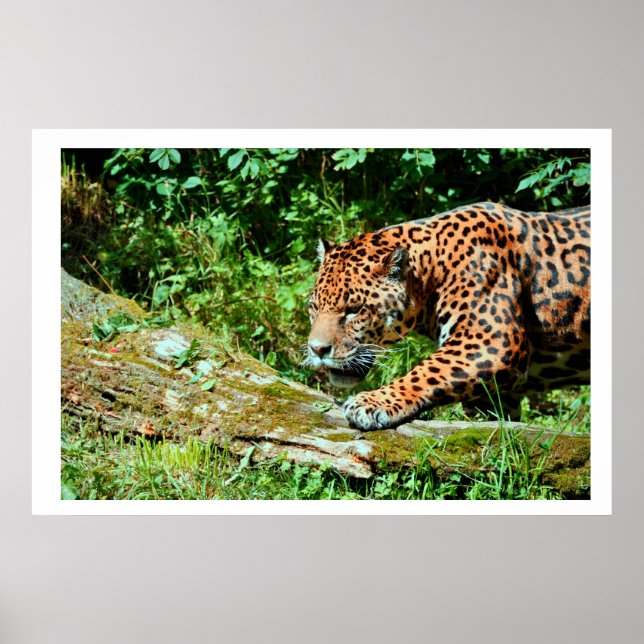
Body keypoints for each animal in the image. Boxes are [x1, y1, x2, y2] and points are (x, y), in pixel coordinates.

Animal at [305, 202, 590, 431]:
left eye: (354, 310)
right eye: (314, 307)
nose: (317, 350)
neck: (433, 266)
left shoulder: (491, 341)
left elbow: (426, 371)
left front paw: (370, 402)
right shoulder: (498, 395)